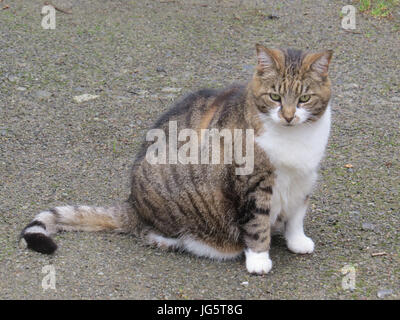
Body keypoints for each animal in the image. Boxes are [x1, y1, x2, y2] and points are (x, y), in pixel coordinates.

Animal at [19, 44, 332, 276]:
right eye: (275, 96)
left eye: (304, 98)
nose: (288, 116)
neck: (293, 138)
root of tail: (132, 204)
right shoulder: (252, 182)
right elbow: (256, 223)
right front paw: (258, 259)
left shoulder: (305, 177)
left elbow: (297, 215)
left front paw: (297, 240)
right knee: (155, 232)